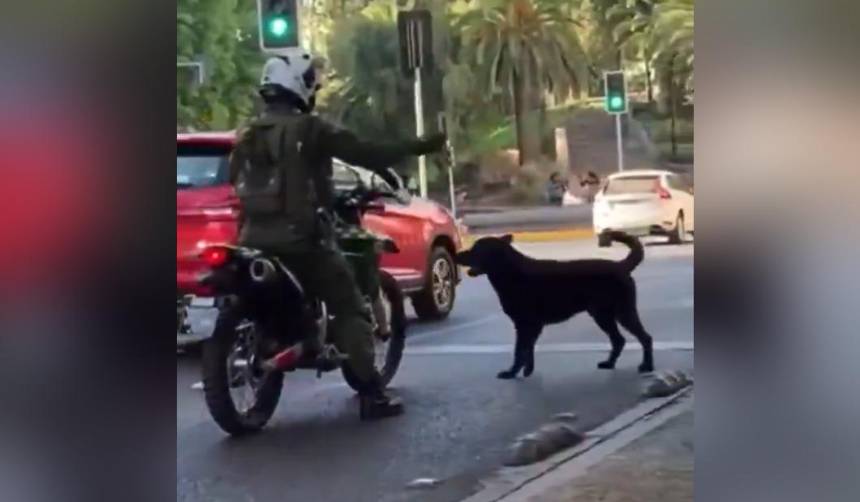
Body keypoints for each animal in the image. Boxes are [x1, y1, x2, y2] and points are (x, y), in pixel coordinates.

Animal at [456, 233, 652, 378]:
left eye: (476, 249)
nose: (457, 255)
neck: (510, 270)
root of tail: (621, 265)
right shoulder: (531, 326)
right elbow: (528, 350)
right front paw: (527, 371)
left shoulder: (524, 324)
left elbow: (519, 351)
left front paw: (512, 372)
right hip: (603, 315)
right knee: (619, 340)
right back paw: (610, 363)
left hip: (622, 312)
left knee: (645, 338)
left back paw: (647, 366)